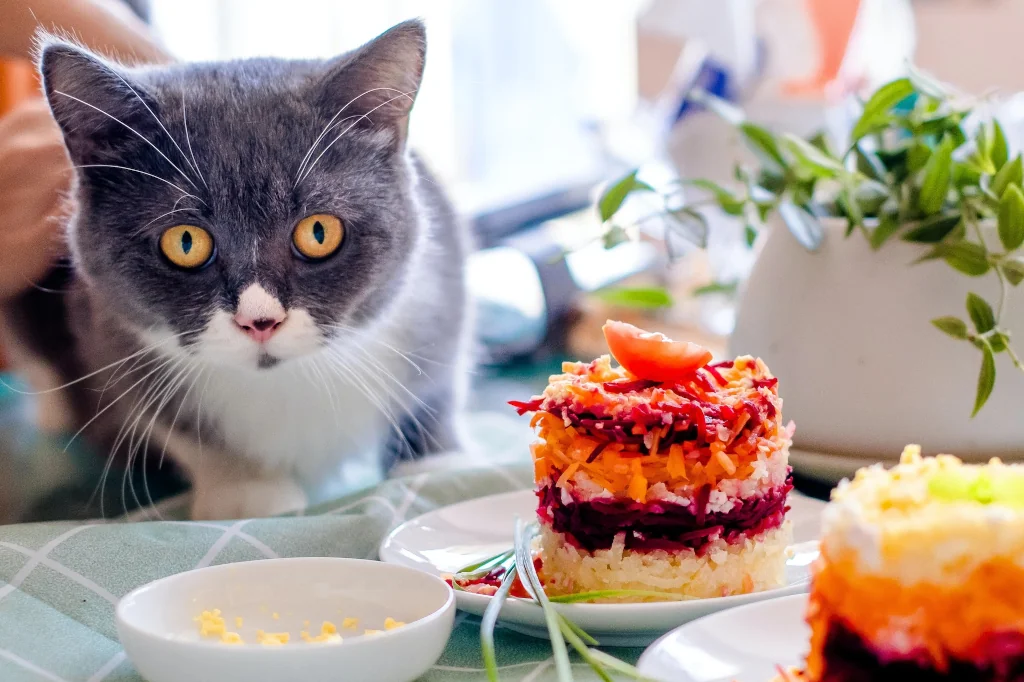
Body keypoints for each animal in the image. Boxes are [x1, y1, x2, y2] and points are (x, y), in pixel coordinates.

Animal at [0, 19, 471, 516]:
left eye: (319, 232)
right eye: (185, 242)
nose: (259, 321)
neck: (289, 381)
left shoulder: (441, 286)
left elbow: (438, 383)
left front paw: (436, 463)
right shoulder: (105, 330)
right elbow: (177, 426)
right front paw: (247, 492)